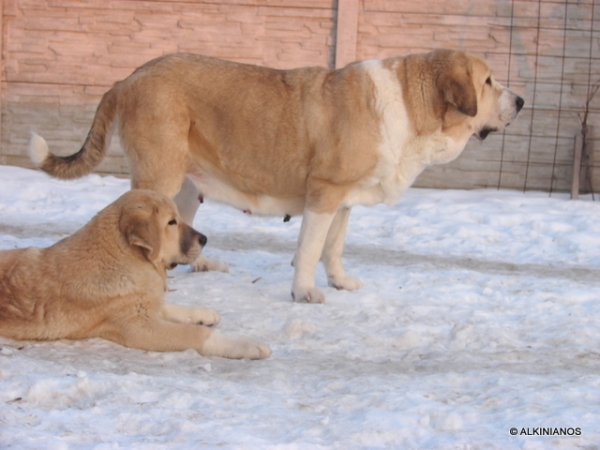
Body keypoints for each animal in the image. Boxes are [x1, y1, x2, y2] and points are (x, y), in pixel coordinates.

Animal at [0, 189, 272, 358]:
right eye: (171, 223)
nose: (204, 239)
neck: (124, 257)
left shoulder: (141, 301)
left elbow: (168, 306)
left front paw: (201, 312)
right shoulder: (138, 327)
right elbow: (197, 333)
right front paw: (246, 345)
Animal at [30, 48, 524, 302]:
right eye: (487, 82)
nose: (520, 101)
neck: (407, 102)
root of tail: (127, 77)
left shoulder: (344, 199)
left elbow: (333, 247)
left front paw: (339, 281)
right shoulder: (323, 194)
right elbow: (309, 249)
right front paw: (304, 292)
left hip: (187, 186)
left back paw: (199, 263)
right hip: (161, 173)